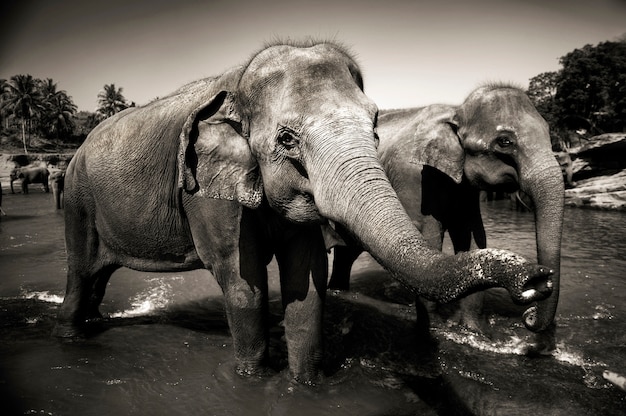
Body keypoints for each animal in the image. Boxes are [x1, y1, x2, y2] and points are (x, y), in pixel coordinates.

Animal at [330, 83, 564, 352]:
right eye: (505, 142)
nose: (530, 314)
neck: (456, 112)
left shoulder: (467, 190)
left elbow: (473, 236)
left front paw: (476, 334)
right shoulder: (413, 177)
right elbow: (429, 235)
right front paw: (433, 330)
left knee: (347, 252)